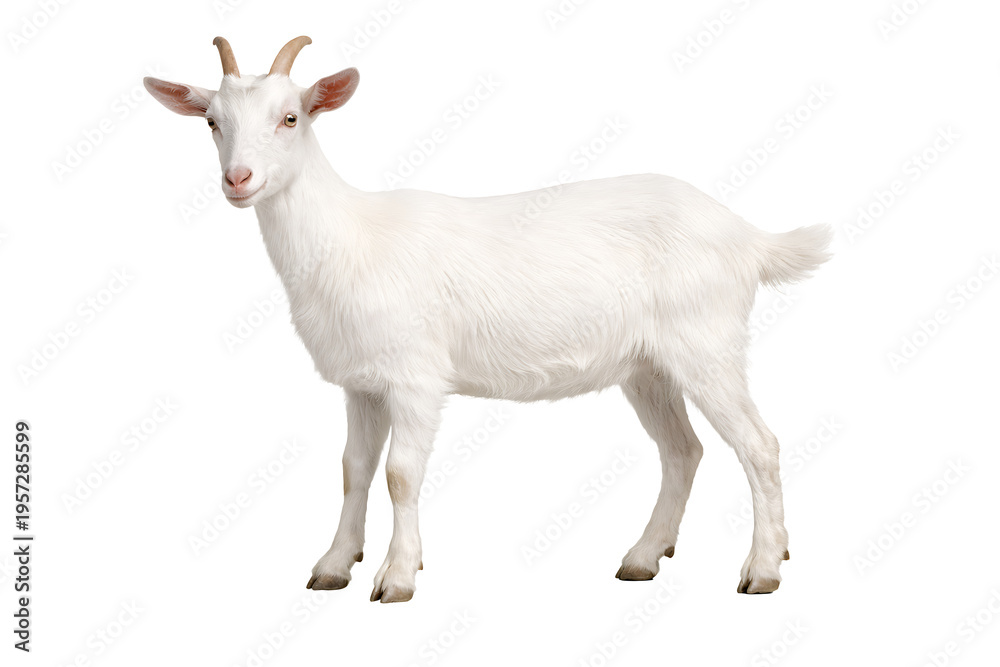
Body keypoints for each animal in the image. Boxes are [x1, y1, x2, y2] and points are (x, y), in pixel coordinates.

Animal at [145, 36, 831, 603]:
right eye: (212, 121)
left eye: (291, 117)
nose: (238, 179)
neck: (350, 237)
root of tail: (748, 238)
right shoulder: (362, 382)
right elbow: (353, 470)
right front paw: (335, 566)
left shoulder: (415, 378)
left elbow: (400, 473)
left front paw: (396, 577)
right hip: (648, 368)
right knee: (682, 450)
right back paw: (642, 557)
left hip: (706, 343)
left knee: (759, 444)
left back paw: (763, 568)